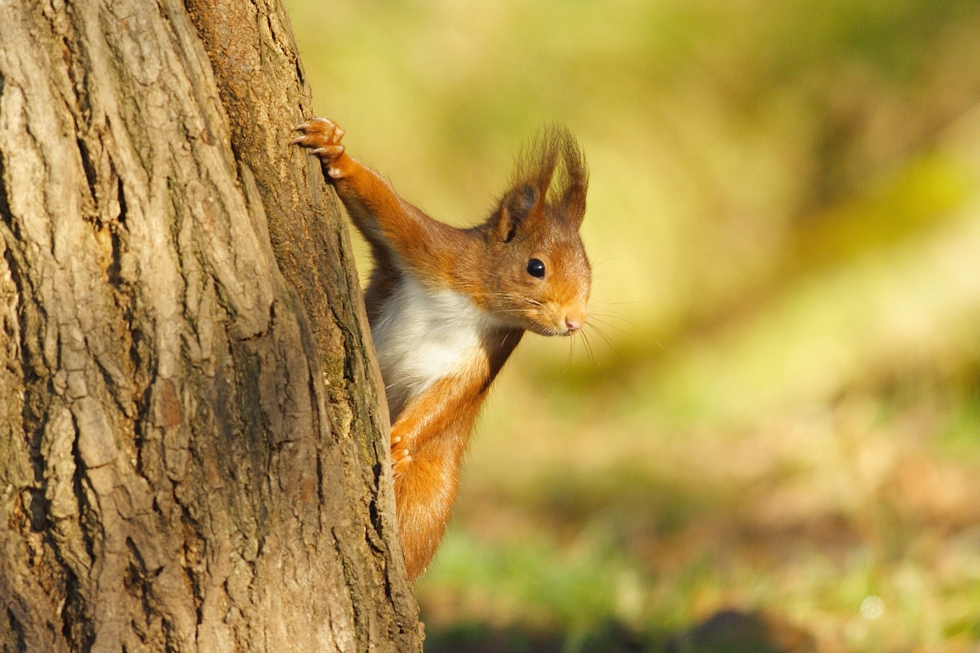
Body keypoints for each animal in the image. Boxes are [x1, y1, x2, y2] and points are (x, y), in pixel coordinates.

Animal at [290, 114, 588, 580]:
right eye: (536, 267)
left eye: (589, 270)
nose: (575, 322)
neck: (476, 303)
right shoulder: (432, 250)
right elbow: (384, 207)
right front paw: (335, 148)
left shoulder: (486, 352)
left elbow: (448, 398)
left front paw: (398, 441)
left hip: (429, 498)